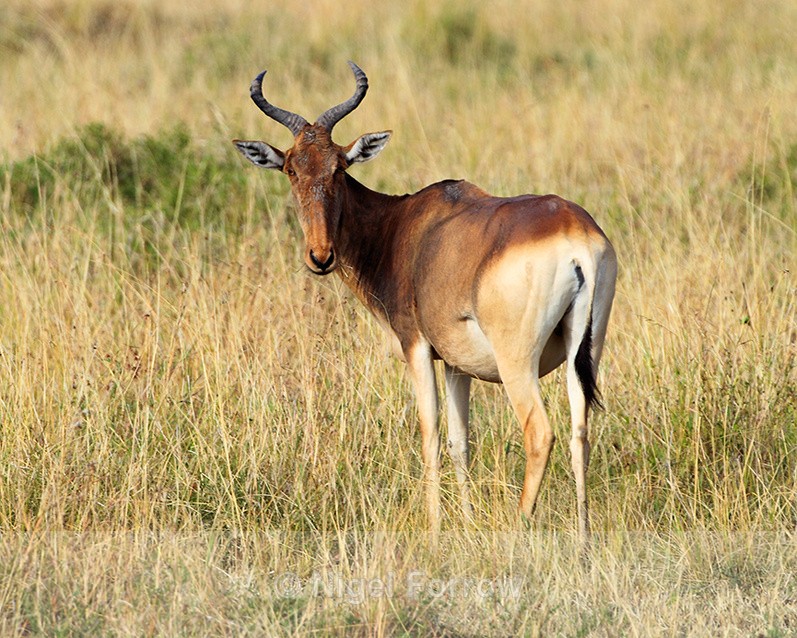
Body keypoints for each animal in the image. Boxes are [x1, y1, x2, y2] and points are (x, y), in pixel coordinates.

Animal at [233, 62, 617, 540]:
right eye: (290, 168)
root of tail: (574, 234)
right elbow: (459, 441)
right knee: (580, 431)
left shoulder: (416, 347)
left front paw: (434, 529)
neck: (404, 225)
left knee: (539, 432)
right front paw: (465, 523)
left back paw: (518, 526)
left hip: (517, 362)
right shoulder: (456, 364)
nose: (321, 256)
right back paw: (583, 536)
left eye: (339, 166)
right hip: (586, 349)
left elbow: (429, 434)